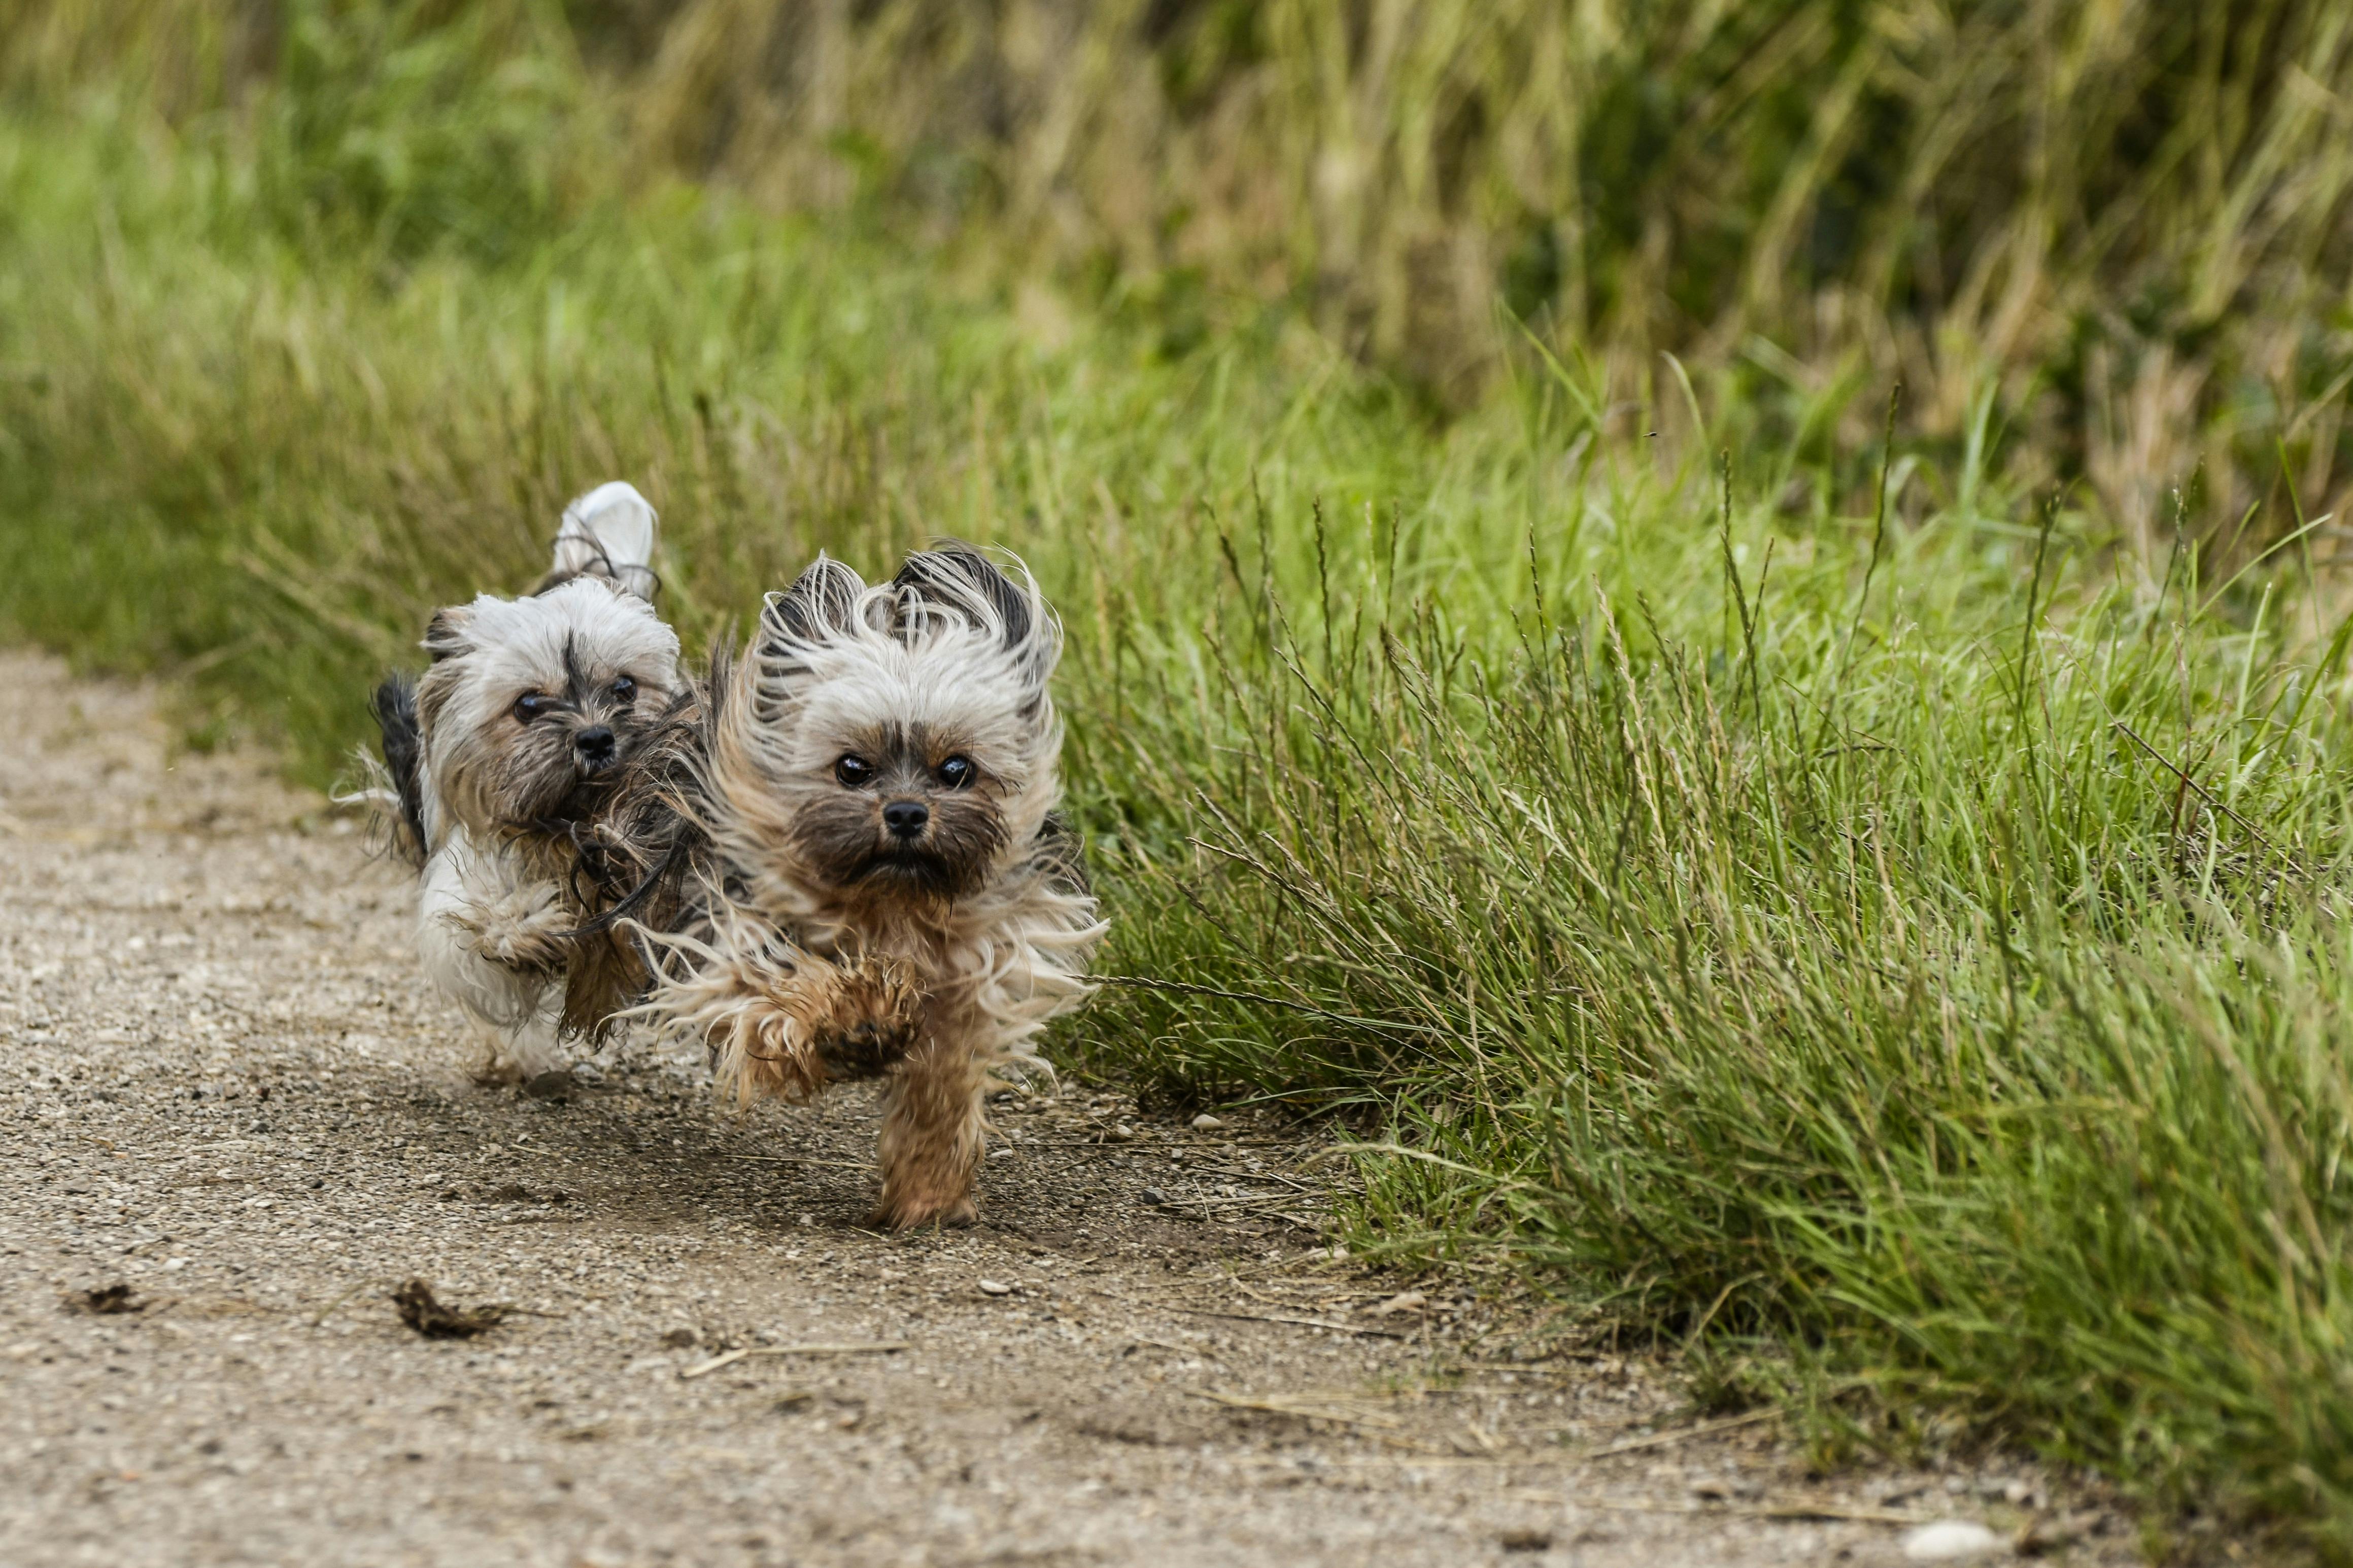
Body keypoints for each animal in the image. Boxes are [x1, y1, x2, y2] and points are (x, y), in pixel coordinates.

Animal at [369, 484, 682, 1086]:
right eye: (529, 704)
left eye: (626, 687)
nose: (596, 737)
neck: (561, 822)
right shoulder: (460, 879)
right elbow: (480, 927)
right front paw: (530, 925)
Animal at [626, 545, 1101, 1232]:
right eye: (852, 767)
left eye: (956, 769)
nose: (905, 812)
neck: (888, 901)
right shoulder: (727, 925)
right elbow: (772, 988)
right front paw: (857, 1018)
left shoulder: (967, 977)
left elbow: (941, 1081)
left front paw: (928, 1192)